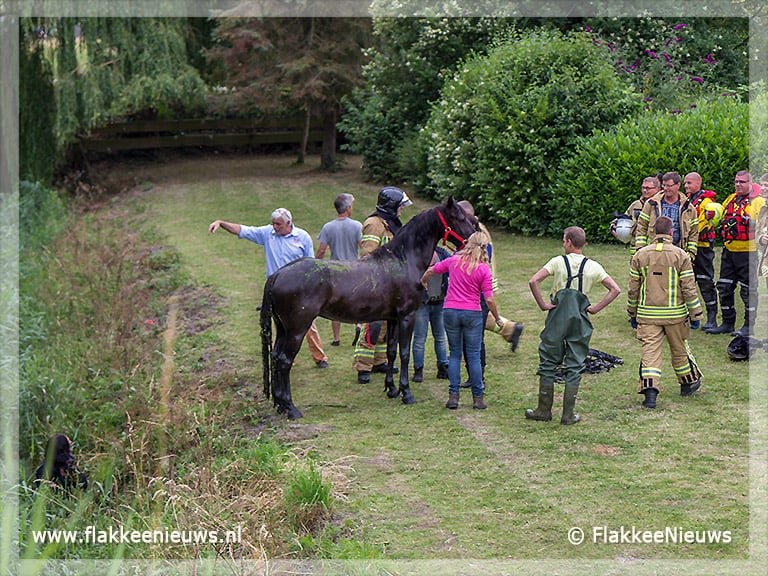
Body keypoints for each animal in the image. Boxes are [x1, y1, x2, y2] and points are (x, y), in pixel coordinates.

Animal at [259, 197, 477, 419]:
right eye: (460, 218)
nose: (475, 241)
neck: (402, 260)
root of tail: (277, 275)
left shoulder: (392, 319)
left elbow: (391, 351)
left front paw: (391, 389)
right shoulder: (407, 317)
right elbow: (405, 353)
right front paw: (406, 393)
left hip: (283, 329)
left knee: (275, 357)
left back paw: (280, 404)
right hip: (297, 330)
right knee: (284, 361)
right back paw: (291, 408)